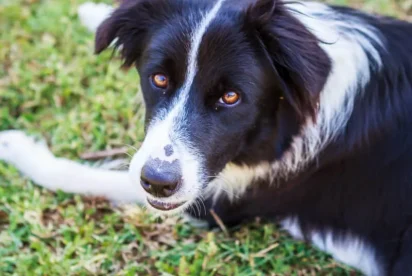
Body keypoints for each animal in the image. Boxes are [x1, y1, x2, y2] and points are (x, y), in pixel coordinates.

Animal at [0, 0, 412, 274]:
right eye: (159, 78)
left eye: (231, 97)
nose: (158, 183)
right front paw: (95, 13)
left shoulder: (214, 201)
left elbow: (82, 175)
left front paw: (20, 149)